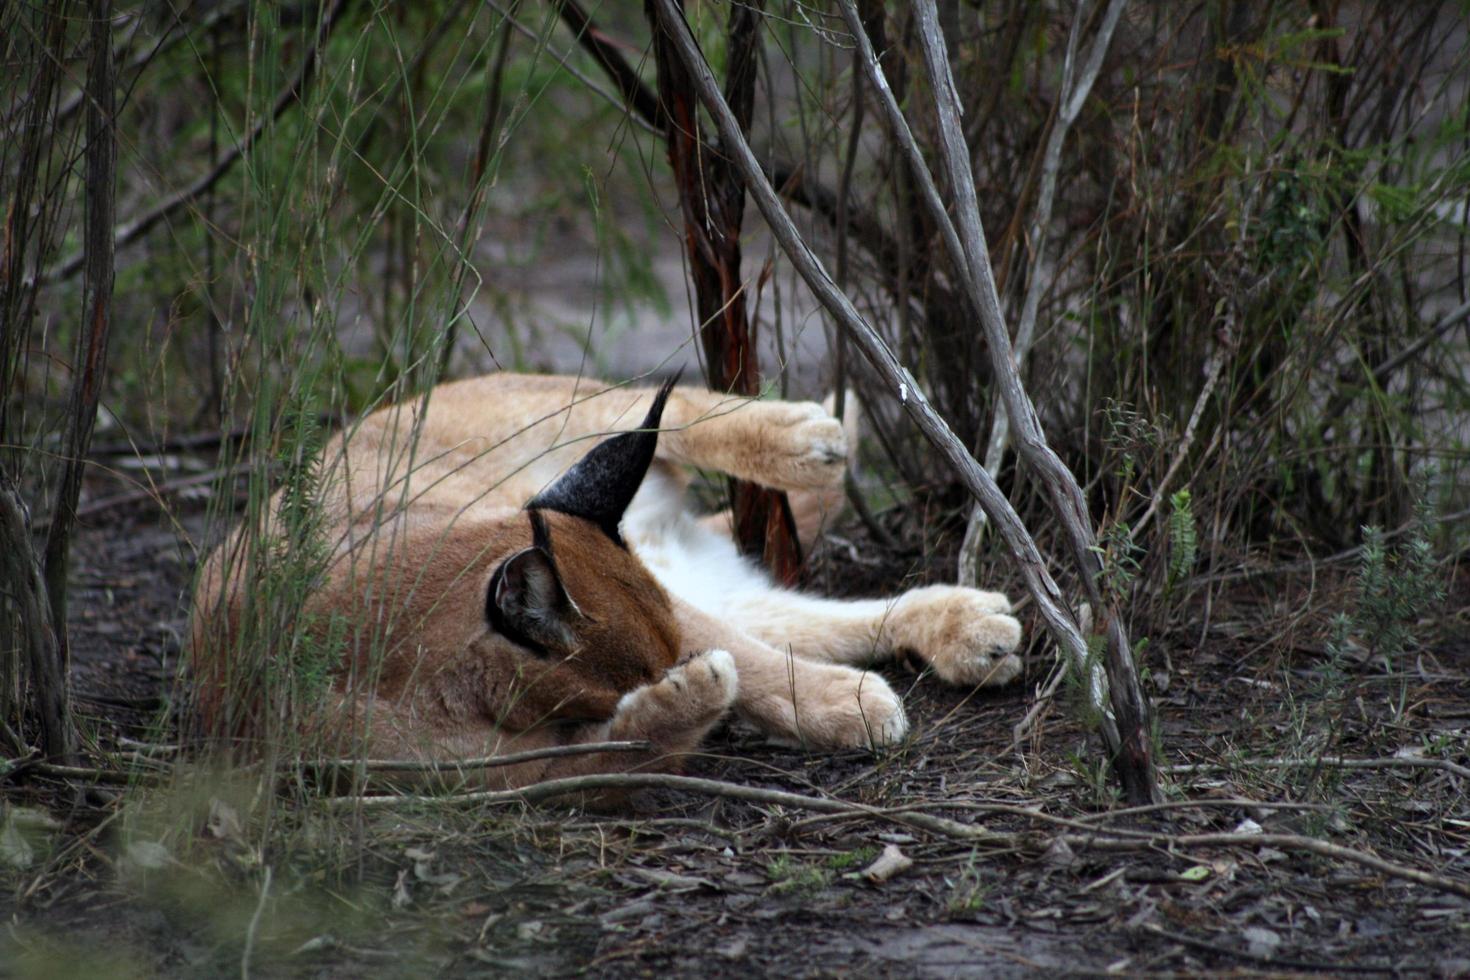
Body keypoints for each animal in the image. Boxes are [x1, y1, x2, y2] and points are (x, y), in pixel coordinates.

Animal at [192, 376, 1023, 787]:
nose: (679, 669)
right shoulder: (498, 778)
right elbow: (614, 752)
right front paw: (686, 702)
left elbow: (748, 665)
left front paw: (833, 701)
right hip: (690, 570)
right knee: (799, 619)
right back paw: (962, 631)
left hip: (546, 423)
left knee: (657, 402)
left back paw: (805, 438)